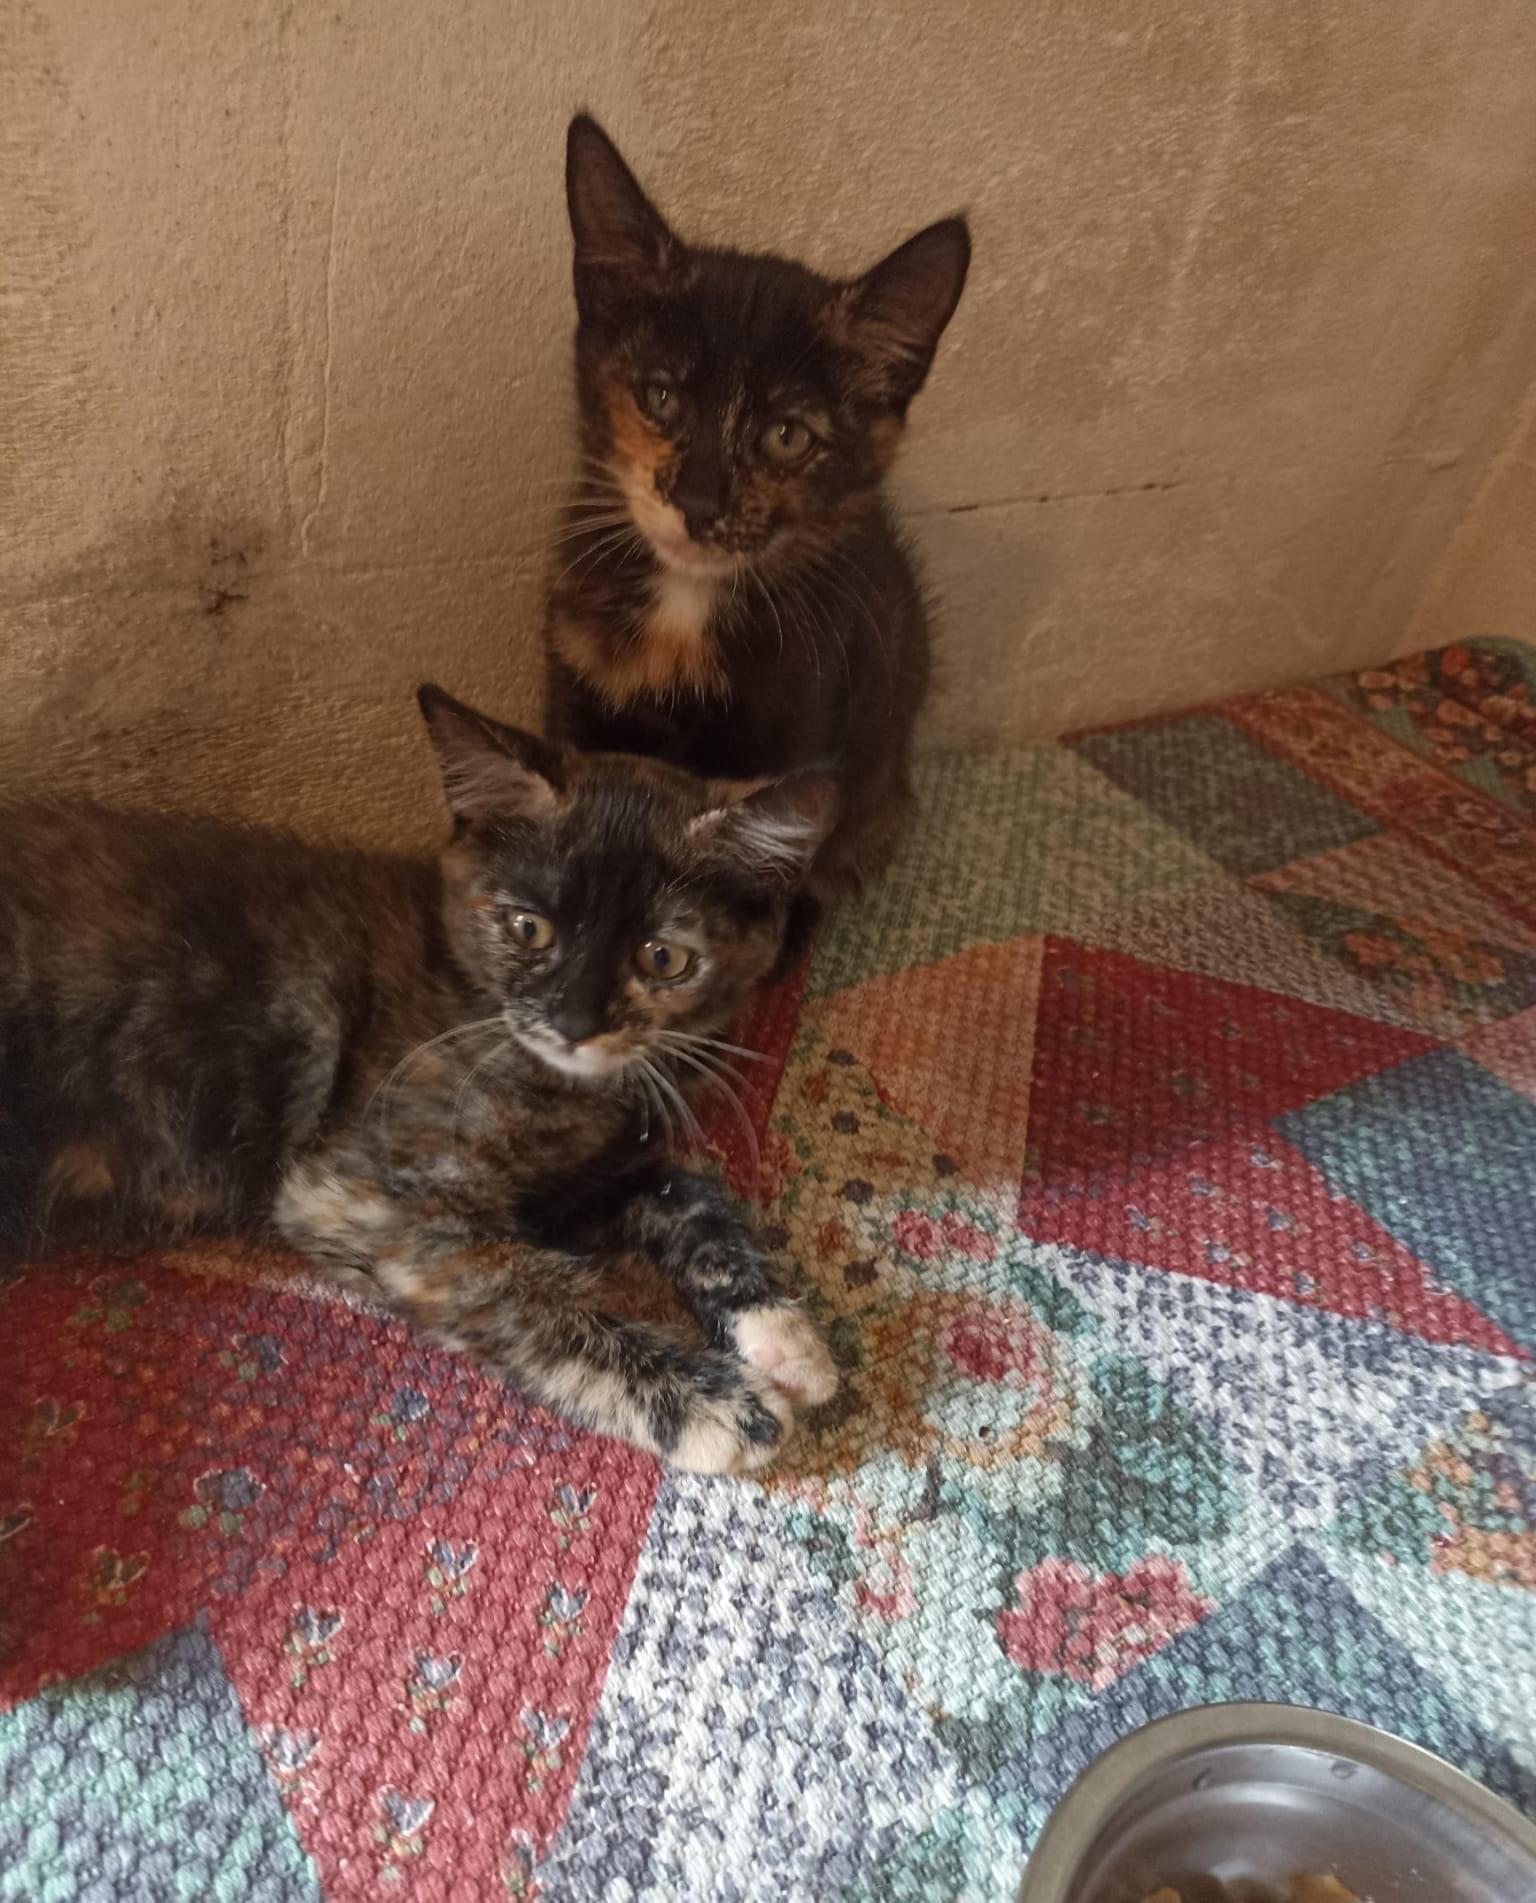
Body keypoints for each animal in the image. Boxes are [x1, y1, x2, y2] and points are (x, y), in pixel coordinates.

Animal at [0, 687, 839, 1473]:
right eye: (528, 927)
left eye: (662, 958)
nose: (573, 1021)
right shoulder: (362, 1192)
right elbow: (530, 1290)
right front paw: (715, 1403)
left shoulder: (572, 1180)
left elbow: (685, 1189)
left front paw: (780, 1329)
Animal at [544, 112, 969, 933]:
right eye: (659, 397)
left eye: (786, 437)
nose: (700, 505)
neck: (684, 612)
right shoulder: (572, 698)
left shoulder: (794, 748)